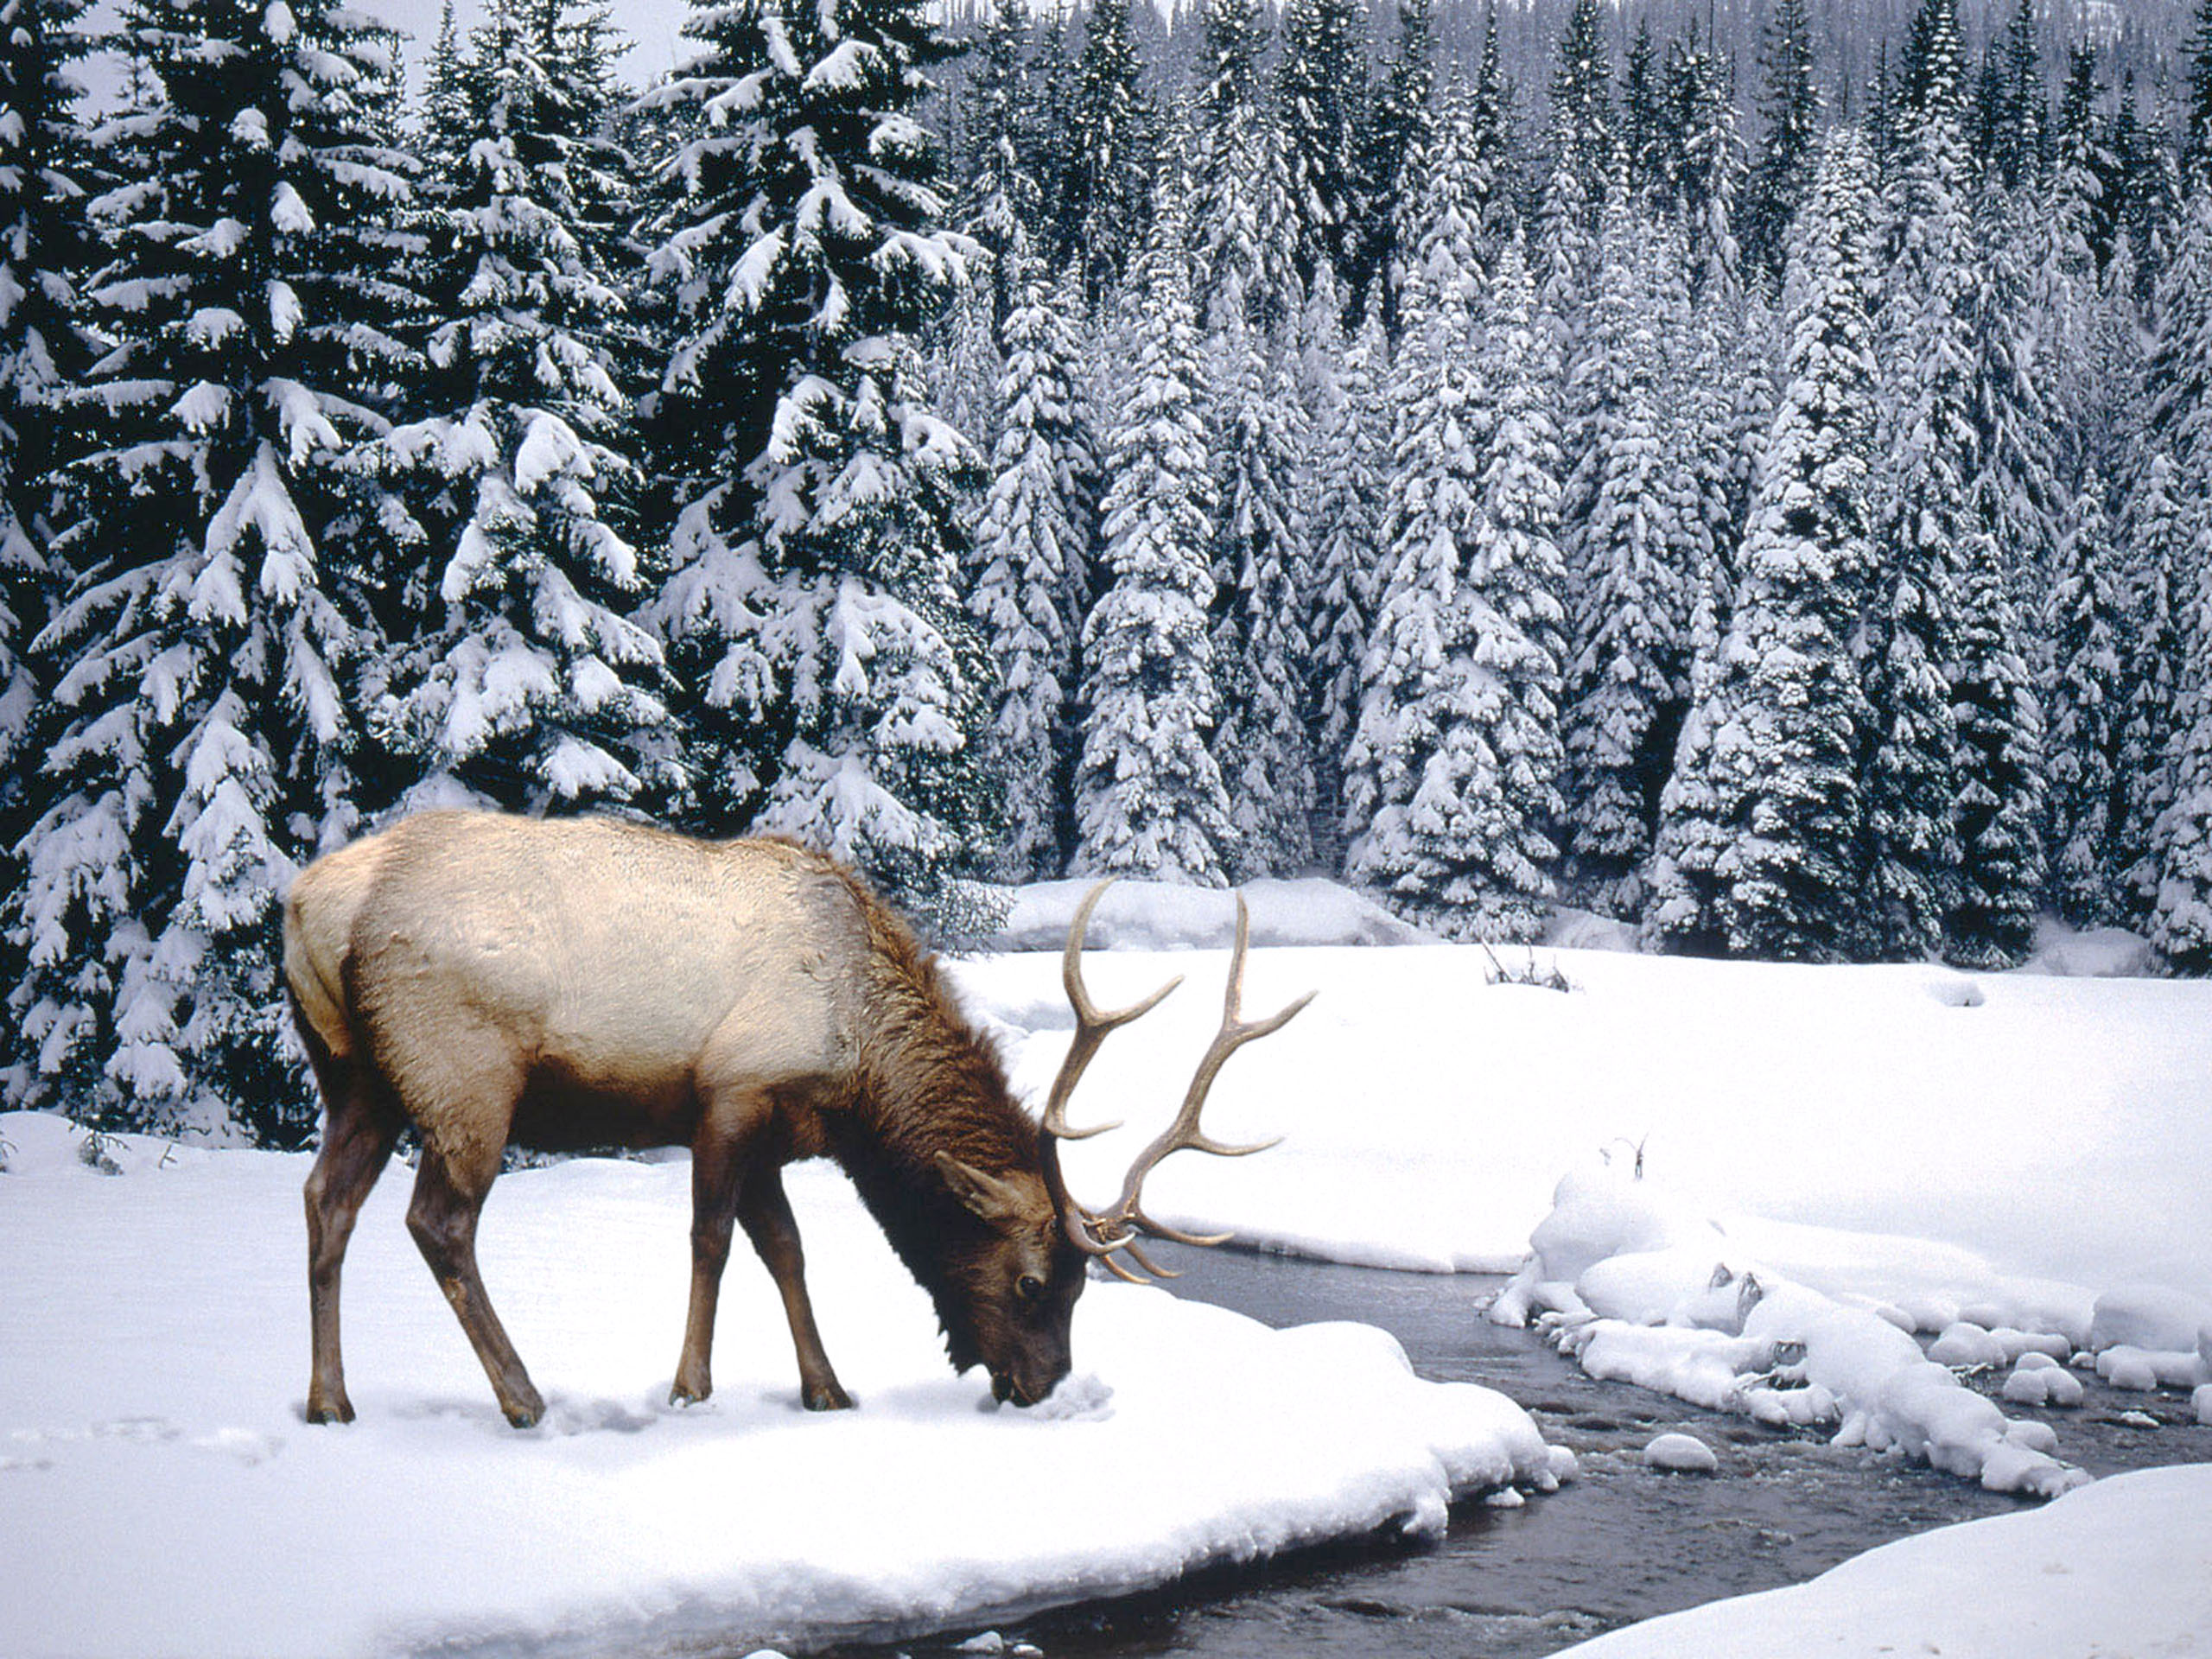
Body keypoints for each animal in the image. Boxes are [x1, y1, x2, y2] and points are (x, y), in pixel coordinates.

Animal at [283, 810, 1310, 1428]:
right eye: (1031, 1283)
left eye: (1083, 1287)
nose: (1042, 1385)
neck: (859, 1066)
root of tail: (306, 906)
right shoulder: (730, 1092)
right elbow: (711, 1241)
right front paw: (690, 1388)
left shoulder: (777, 1135)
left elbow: (786, 1249)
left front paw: (828, 1388)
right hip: (463, 1074)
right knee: (438, 1223)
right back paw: (524, 1397)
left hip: (356, 1078)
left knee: (326, 1201)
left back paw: (330, 1399)